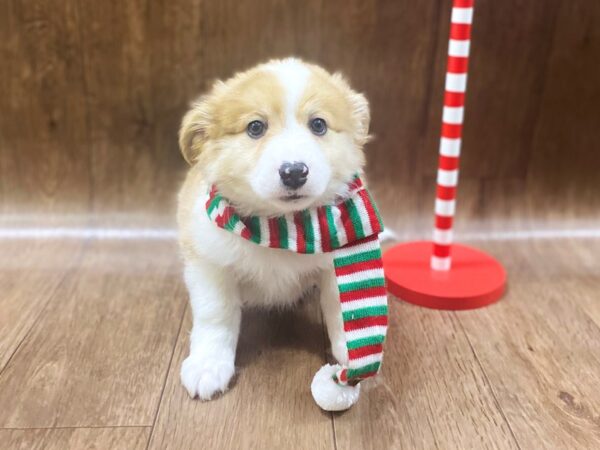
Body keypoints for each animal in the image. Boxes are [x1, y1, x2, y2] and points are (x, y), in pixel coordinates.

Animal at [178, 57, 372, 400]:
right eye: (256, 127)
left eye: (318, 125)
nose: (294, 172)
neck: (283, 228)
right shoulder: (209, 263)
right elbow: (216, 314)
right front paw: (208, 365)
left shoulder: (335, 265)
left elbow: (341, 308)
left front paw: (351, 350)